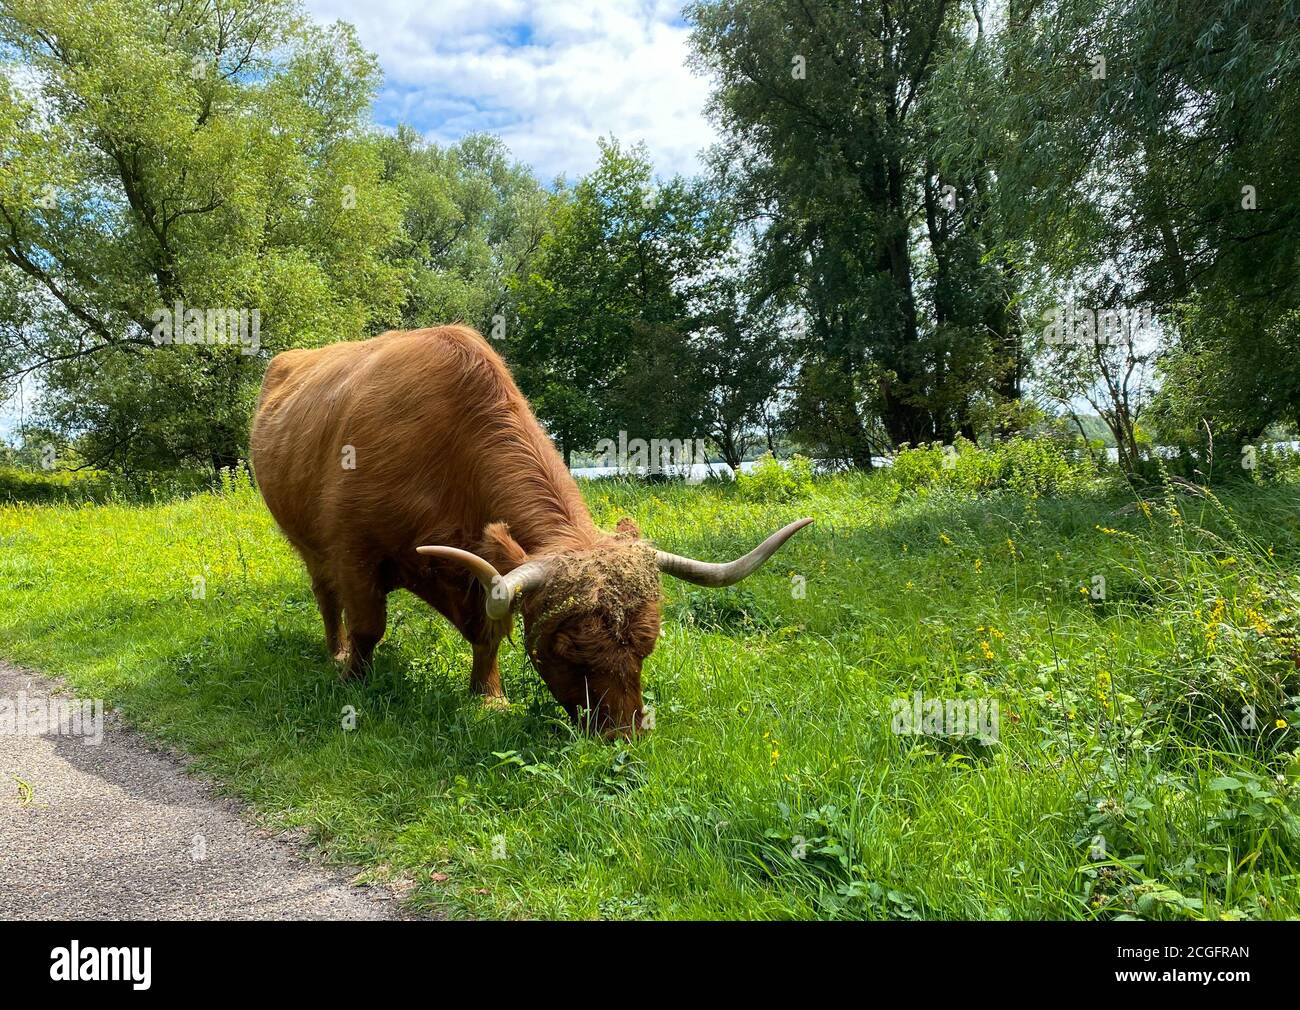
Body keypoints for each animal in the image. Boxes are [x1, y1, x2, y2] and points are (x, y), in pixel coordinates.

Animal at [248, 327, 806, 738]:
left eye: (646, 647)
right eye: (569, 651)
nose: (623, 737)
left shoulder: (482, 570)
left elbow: (488, 631)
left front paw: (489, 696)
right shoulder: (354, 552)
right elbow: (368, 625)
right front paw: (353, 680)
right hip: (306, 543)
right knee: (326, 598)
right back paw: (335, 652)